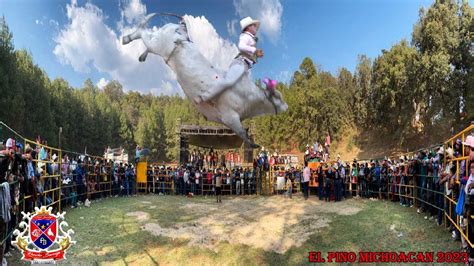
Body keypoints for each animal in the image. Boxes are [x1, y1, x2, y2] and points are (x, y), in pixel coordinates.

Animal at [121, 13, 288, 149]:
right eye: (277, 97)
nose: (286, 106)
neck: (250, 97)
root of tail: (178, 27)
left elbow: (243, 134)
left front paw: (254, 144)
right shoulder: (230, 116)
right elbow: (241, 132)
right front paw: (254, 144)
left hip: (158, 44)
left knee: (146, 40)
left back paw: (140, 55)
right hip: (157, 44)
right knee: (142, 32)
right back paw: (125, 39)